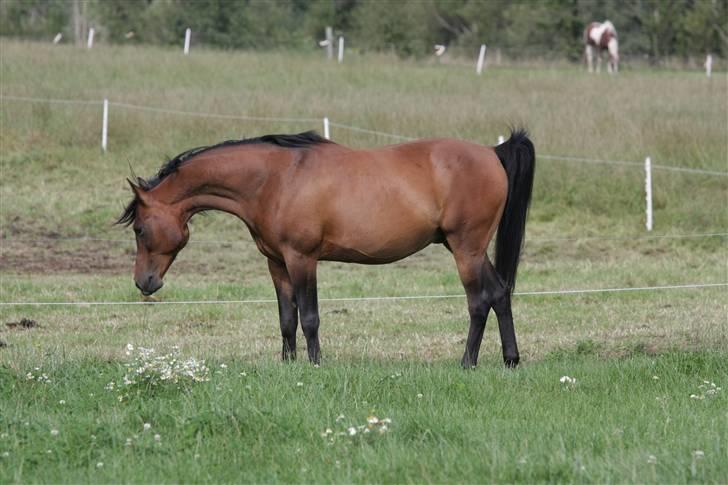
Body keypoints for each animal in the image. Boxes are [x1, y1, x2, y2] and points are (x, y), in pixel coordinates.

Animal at [115, 129, 536, 366]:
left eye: (139, 228)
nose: (144, 282)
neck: (276, 179)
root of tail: (492, 152)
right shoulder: (277, 263)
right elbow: (287, 318)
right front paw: (288, 365)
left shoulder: (303, 259)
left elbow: (310, 317)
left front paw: (316, 364)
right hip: (468, 249)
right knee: (500, 293)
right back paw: (510, 359)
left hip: (466, 249)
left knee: (479, 302)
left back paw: (467, 362)